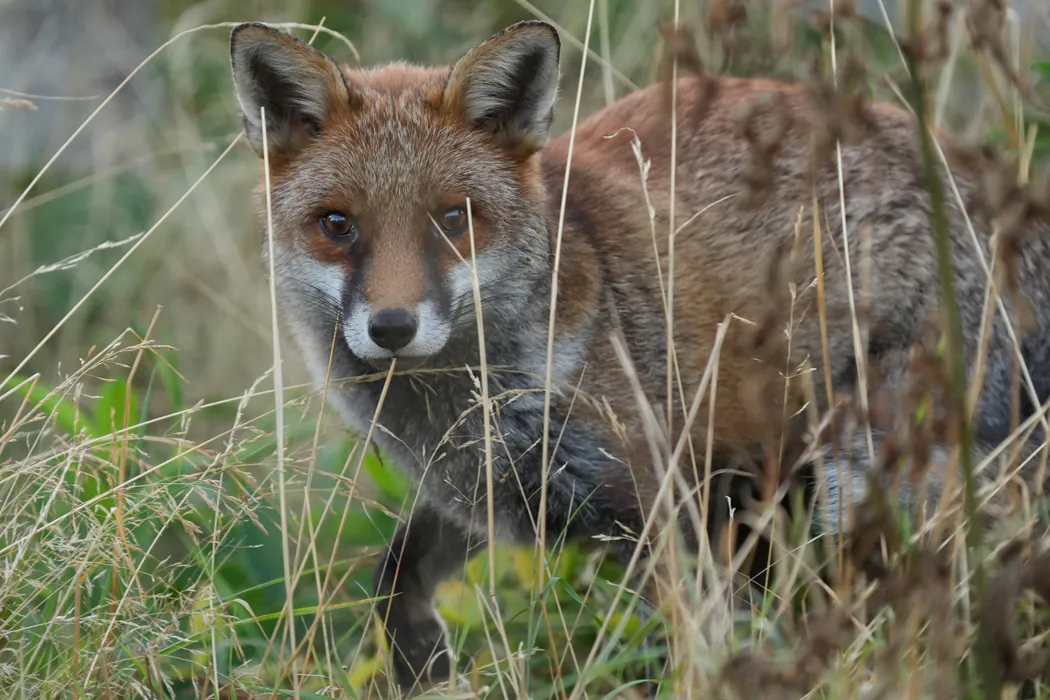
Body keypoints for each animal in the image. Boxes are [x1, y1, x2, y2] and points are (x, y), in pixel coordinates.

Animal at [228, 18, 1050, 694]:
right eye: (338, 225)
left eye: (453, 218)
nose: (393, 327)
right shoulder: (491, 492)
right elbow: (396, 576)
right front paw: (422, 666)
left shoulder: (666, 508)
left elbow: (677, 652)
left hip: (863, 473)